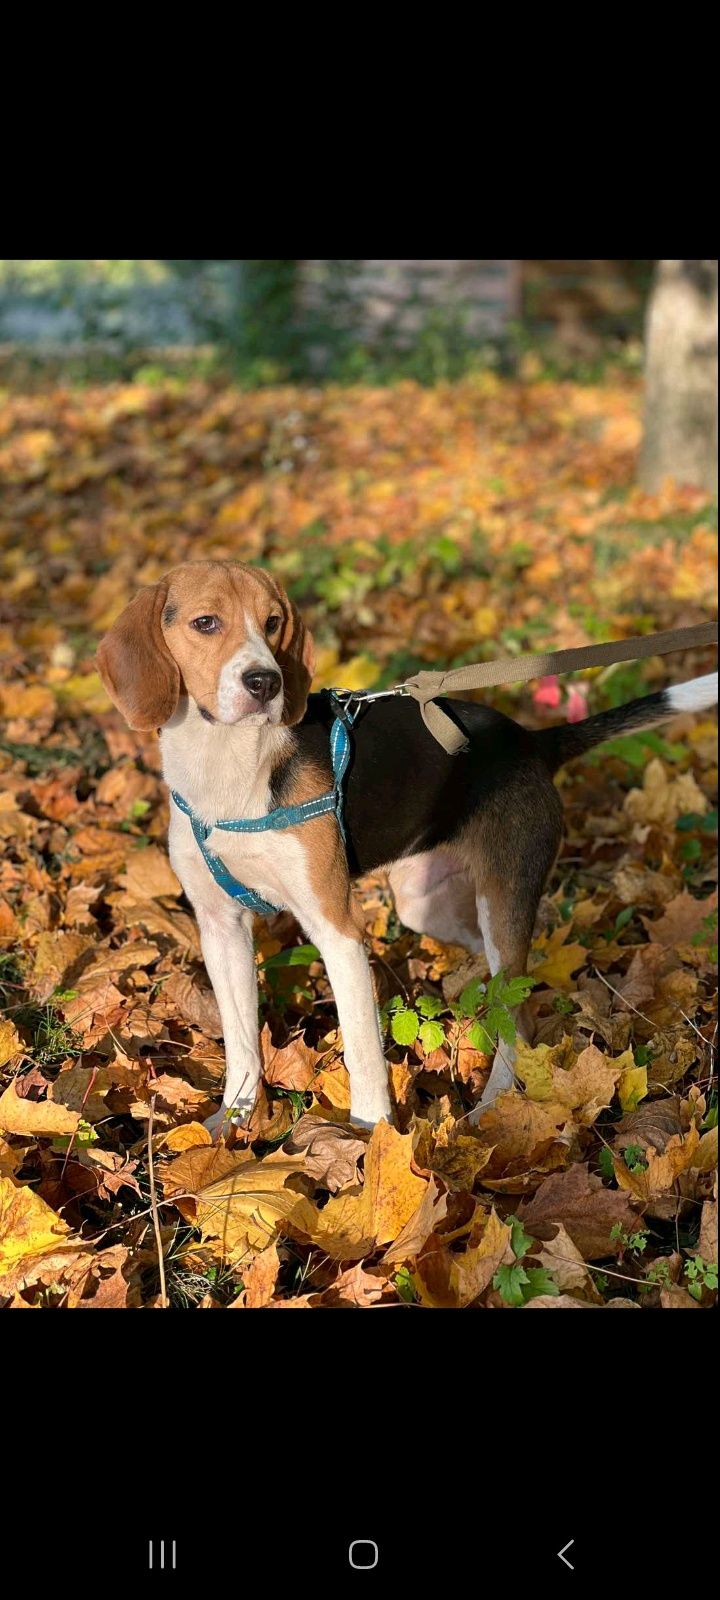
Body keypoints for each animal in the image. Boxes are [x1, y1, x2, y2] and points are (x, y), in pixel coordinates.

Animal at [97, 563, 720, 1139]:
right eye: (206, 623)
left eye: (272, 623)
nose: (265, 683)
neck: (226, 766)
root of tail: (532, 741)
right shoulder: (220, 927)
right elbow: (243, 1041)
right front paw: (232, 1123)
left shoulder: (337, 928)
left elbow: (362, 1051)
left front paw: (369, 1140)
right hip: (425, 905)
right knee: (496, 982)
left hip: (502, 896)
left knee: (518, 1016)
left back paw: (493, 1110)